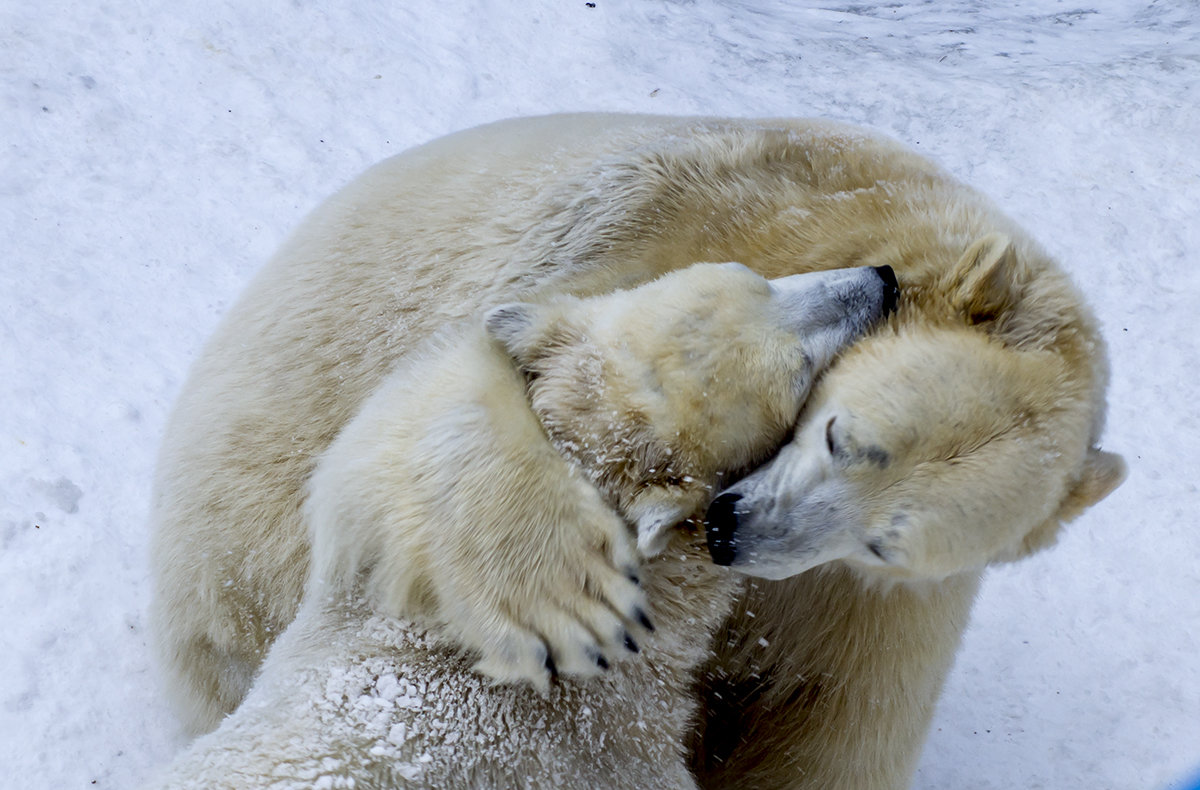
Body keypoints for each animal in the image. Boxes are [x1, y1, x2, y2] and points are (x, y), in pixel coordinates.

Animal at [150, 260, 897, 787]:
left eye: (757, 277)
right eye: (799, 373)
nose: (882, 278)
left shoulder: (357, 574)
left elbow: (388, 429)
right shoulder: (611, 758)